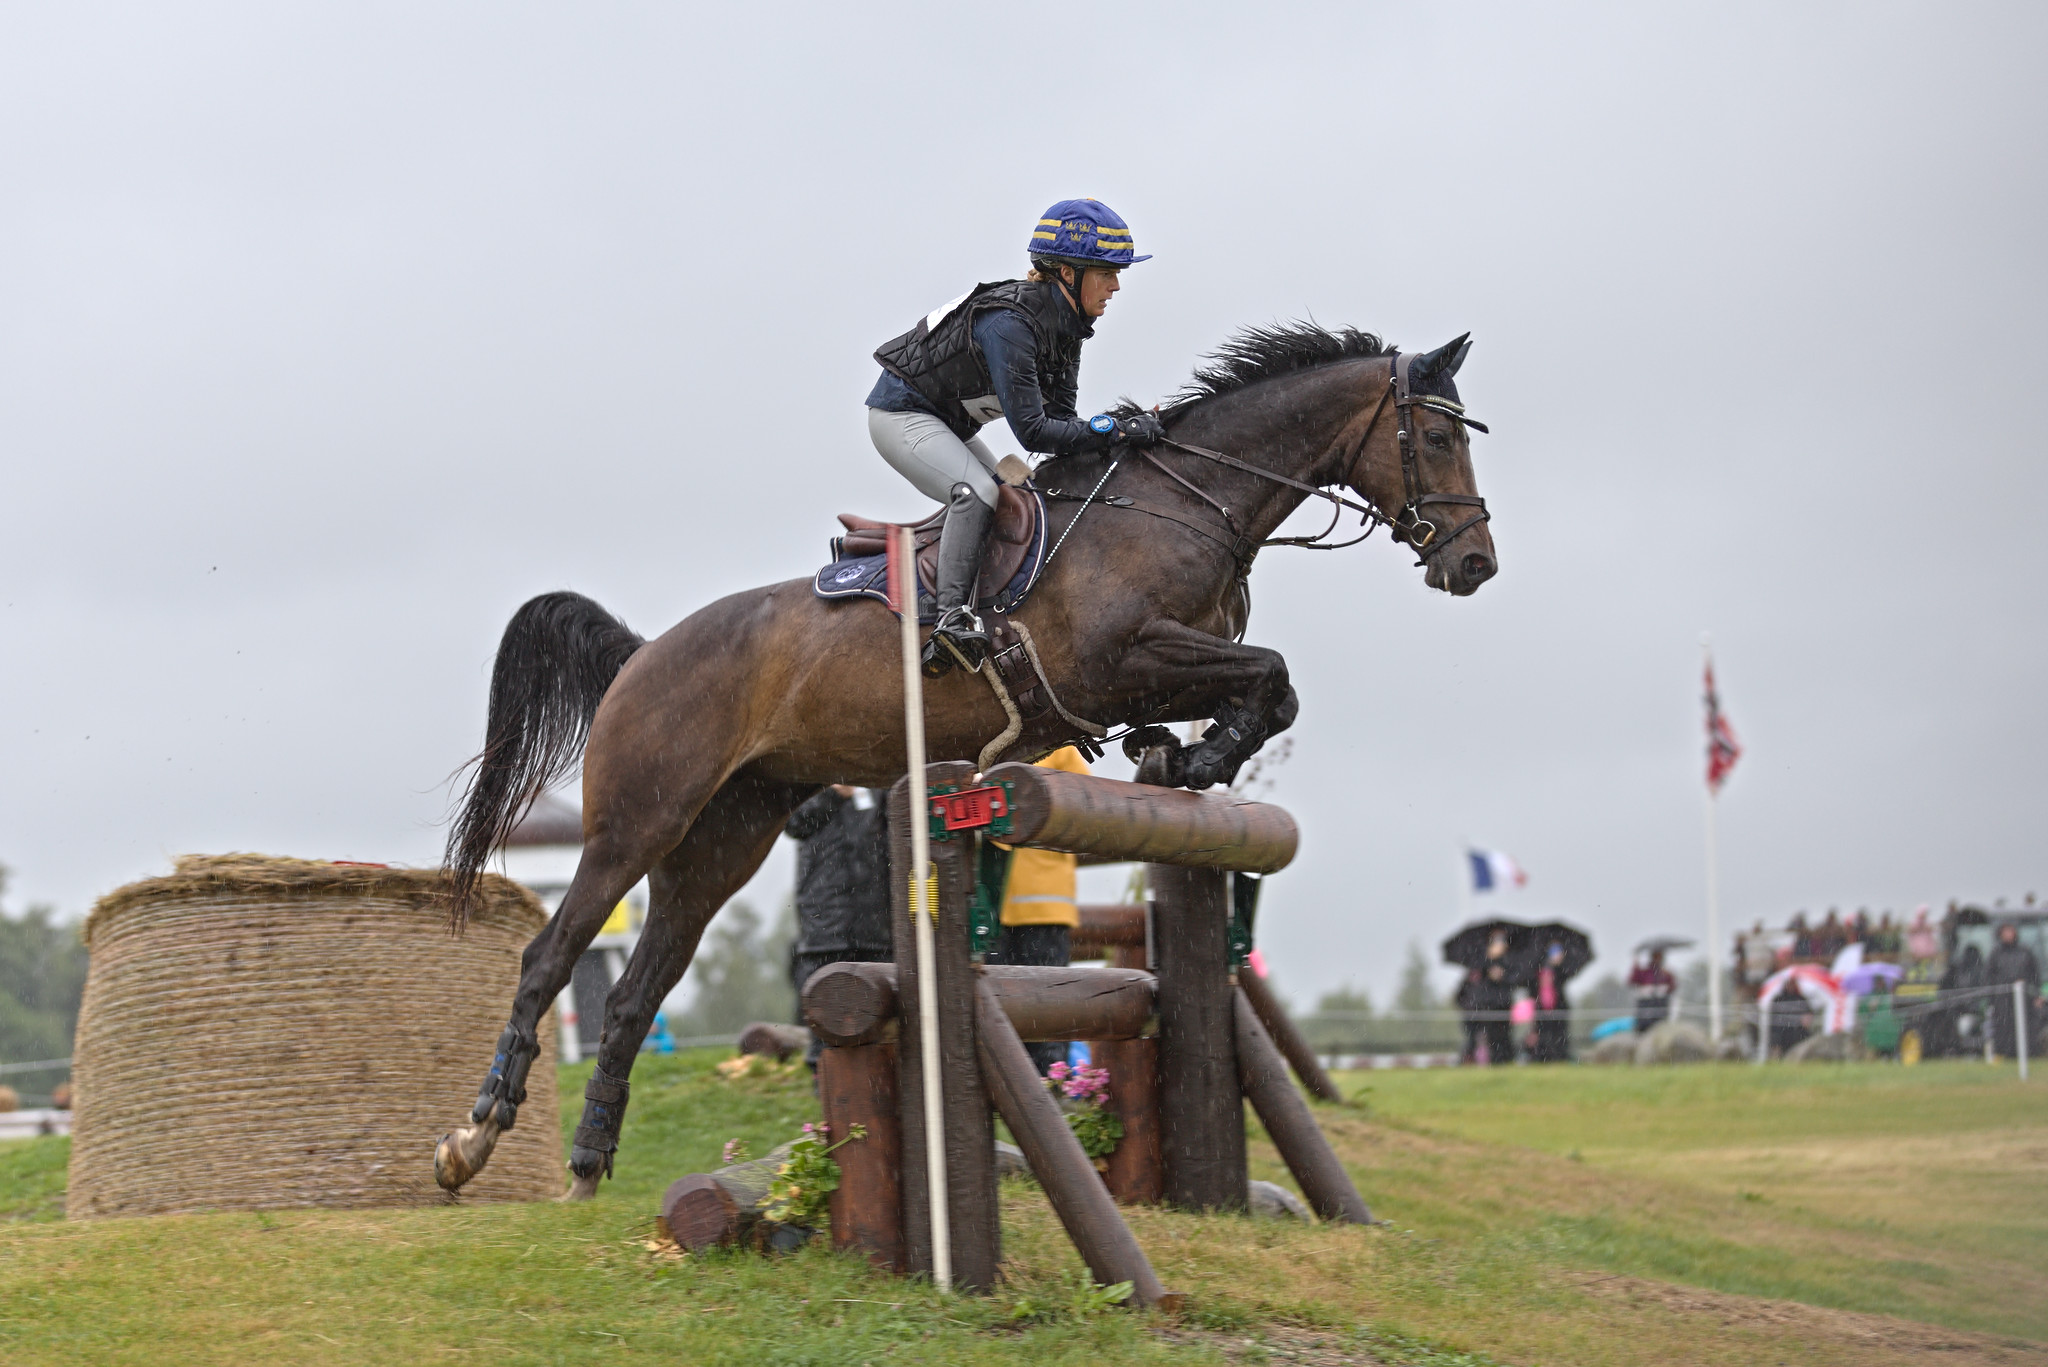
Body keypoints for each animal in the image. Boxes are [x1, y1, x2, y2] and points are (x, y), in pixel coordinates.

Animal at [432, 321, 1499, 1196]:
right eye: (1437, 438)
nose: (1473, 565)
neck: (1185, 501)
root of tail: (645, 652)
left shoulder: (1160, 671)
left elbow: (1268, 686)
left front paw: (1189, 760)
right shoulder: (1122, 661)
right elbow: (1270, 673)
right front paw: (1202, 762)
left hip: (722, 841)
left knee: (634, 993)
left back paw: (588, 1161)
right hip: (638, 821)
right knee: (550, 957)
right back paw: (472, 1137)